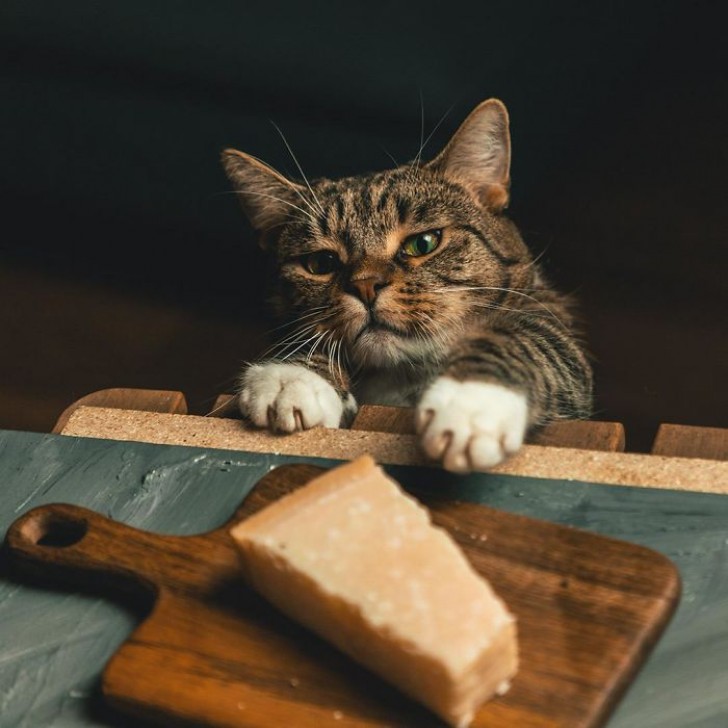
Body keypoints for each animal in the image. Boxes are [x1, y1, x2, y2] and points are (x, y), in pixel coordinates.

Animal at [220, 99, 592, 474]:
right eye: (321, 264)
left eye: (423, 243)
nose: (366, 286)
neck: (401, 380)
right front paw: (292, 377)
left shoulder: (551, 324)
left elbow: (526, 340)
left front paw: (470, 402)